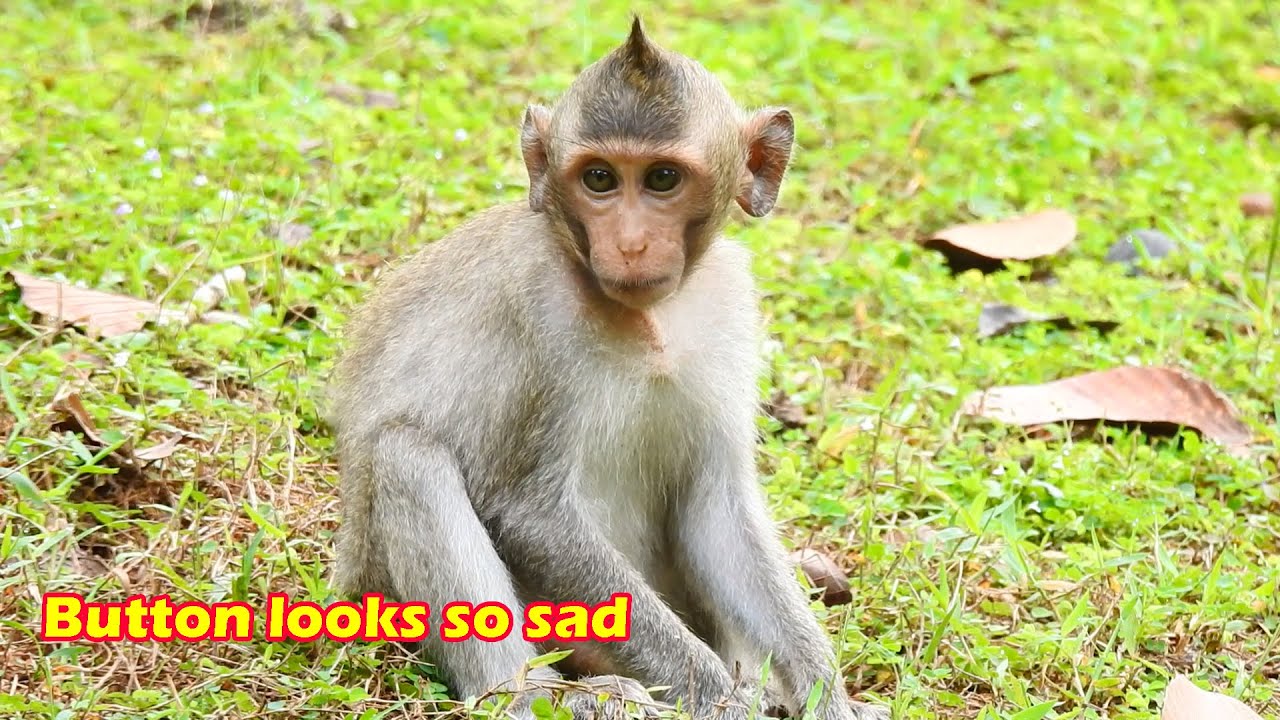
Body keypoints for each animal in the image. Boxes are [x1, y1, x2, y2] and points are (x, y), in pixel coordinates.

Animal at [329, 17, 888, 720]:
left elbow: (717, 507)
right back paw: (533, 695)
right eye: (598, 179)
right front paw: (719, 701)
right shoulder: (534, 306)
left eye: (662, 179)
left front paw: (824, 694)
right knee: (404, 453)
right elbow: (533, 514)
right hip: (381, 587)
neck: (650, 322)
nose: (629, 243)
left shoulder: (730, 302)